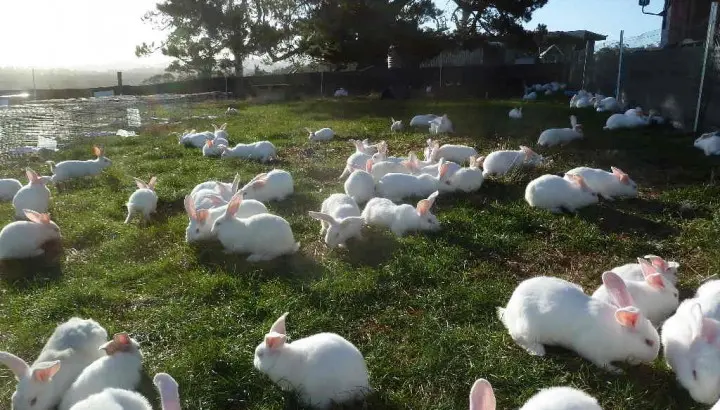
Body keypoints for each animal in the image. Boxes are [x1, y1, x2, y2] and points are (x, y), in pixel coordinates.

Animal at [498, 272, 660, 374]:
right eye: (648, 342)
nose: (654, 356)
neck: (619, 336)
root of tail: (509, 309)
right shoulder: (595, 353)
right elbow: (603, 364)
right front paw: (617, 371)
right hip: (526, 328)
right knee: (520, 339)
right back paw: (538, 350)